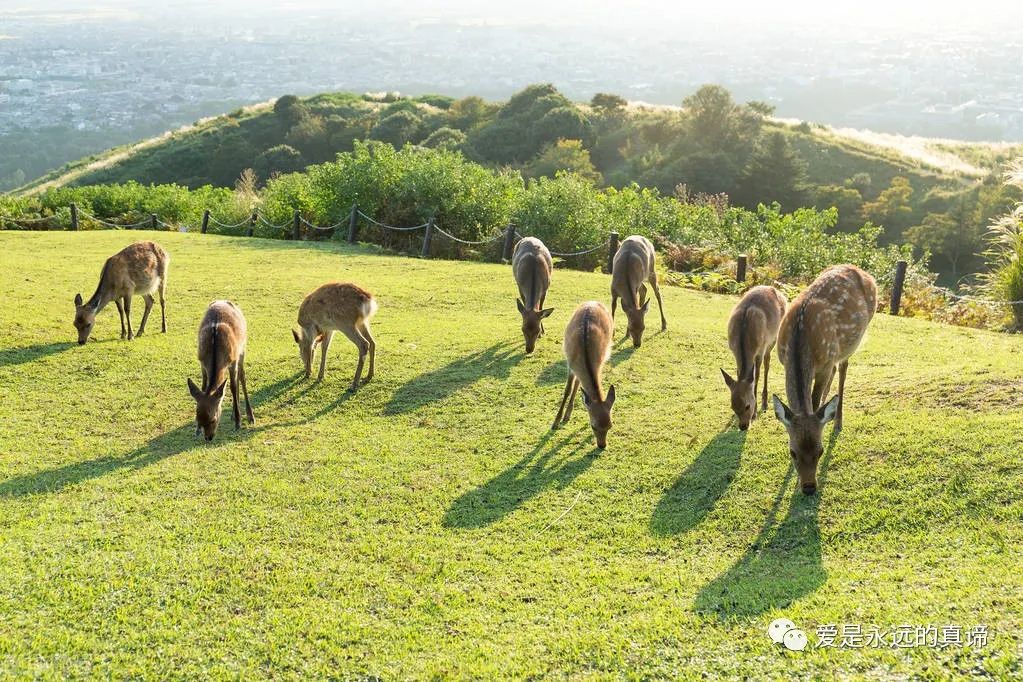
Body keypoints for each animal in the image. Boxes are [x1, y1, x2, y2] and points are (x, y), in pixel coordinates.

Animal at [188, 300, 253, 443]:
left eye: (213, 419)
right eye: (198, 418)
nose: (208, 438)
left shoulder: (233, 360)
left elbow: (233, 387)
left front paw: (238, 424)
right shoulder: (202, 362)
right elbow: (203, 387)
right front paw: (196, 431)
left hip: (243, 347)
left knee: (241, 377)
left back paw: (249, 416)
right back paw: (234, 414)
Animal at [552, 300, 613, 449]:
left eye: (610, 426)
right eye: (593, 426)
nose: (602, 445)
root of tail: (593, 301)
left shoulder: (600, 363)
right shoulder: (570, 364)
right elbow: (567, 390)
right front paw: (555, 422)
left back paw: (568, 414)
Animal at [724, 286, 785, 429]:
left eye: (748, 406)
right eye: (732, 407)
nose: (743, 426)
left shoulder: (760, 350)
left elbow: (756, 376)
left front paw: (755, 412)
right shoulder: (734, 351)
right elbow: (739, 372)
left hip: (774, 337)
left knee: (767, 363)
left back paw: (765, 403)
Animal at [769, 265, 875, 496]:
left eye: (821, 450)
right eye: (792, 452)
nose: (809, 487)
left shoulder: (825, 363)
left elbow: (815, 400)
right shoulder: (783, 360)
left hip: (849, 343)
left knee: (843, 367)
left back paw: (837, 421)